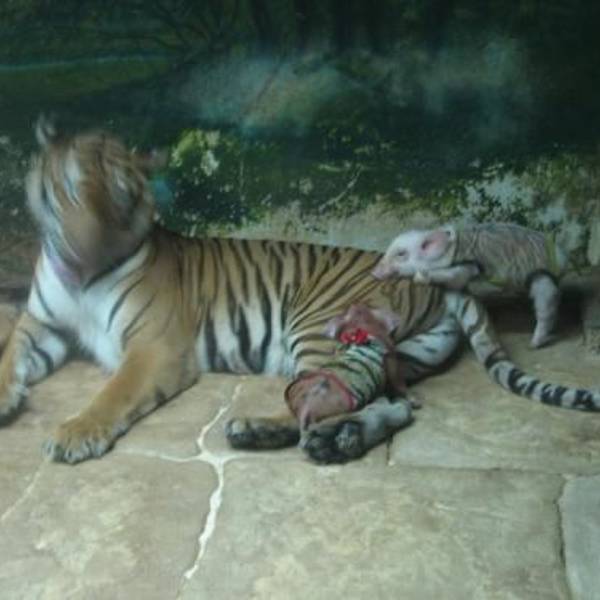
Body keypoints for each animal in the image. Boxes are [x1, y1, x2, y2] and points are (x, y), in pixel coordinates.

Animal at [373, 222, 568, 348]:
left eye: (400, 254)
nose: (374, 273)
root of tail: (562, 256)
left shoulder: (470, 266)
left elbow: (455, 276)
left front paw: (420, 277)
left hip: (542, 276)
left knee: (547, 306)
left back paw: (534, 344)